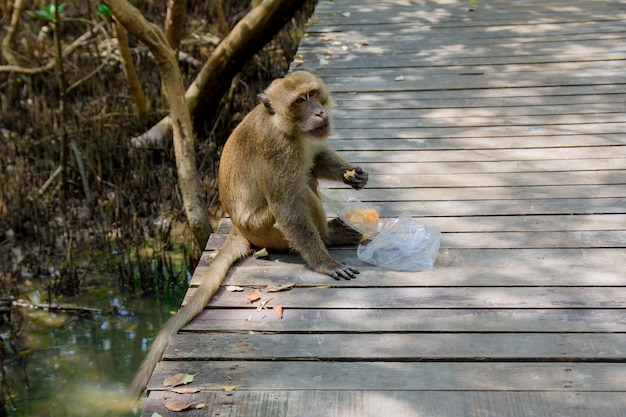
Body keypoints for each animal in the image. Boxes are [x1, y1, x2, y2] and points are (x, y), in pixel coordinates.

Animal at [130, 70, 368, 396]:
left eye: (313, 95)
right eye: (300, 101)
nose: (319, 112)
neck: (288, 128)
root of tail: (238, 228)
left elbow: (317, 158)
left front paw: (353, 175)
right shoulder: (279, 150)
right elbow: (287, 206)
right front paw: (324, 263)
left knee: (307, 175)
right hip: (264, 229)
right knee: (300, 192)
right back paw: (329, 239)